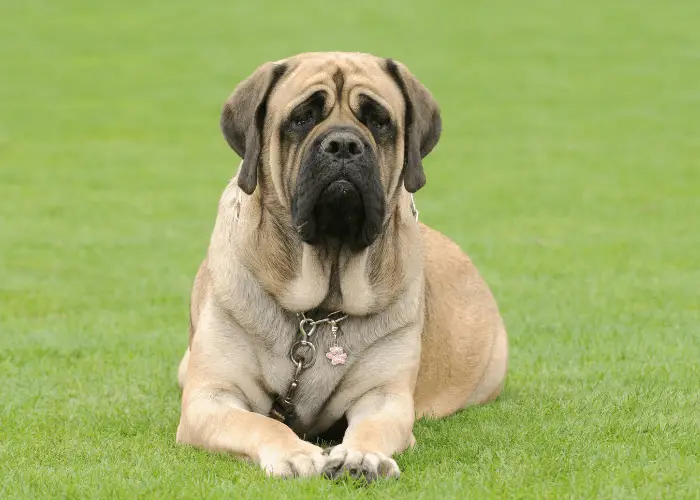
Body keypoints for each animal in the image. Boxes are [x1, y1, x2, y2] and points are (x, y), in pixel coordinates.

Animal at [175, 51, 508, 480]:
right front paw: (294, 454)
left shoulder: (384, 397)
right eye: (302, 117)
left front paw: (361, 456)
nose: (344, 144)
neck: (320, 309)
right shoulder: (210, 398)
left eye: (378, 121)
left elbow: (372, 427)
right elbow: (261, 423)